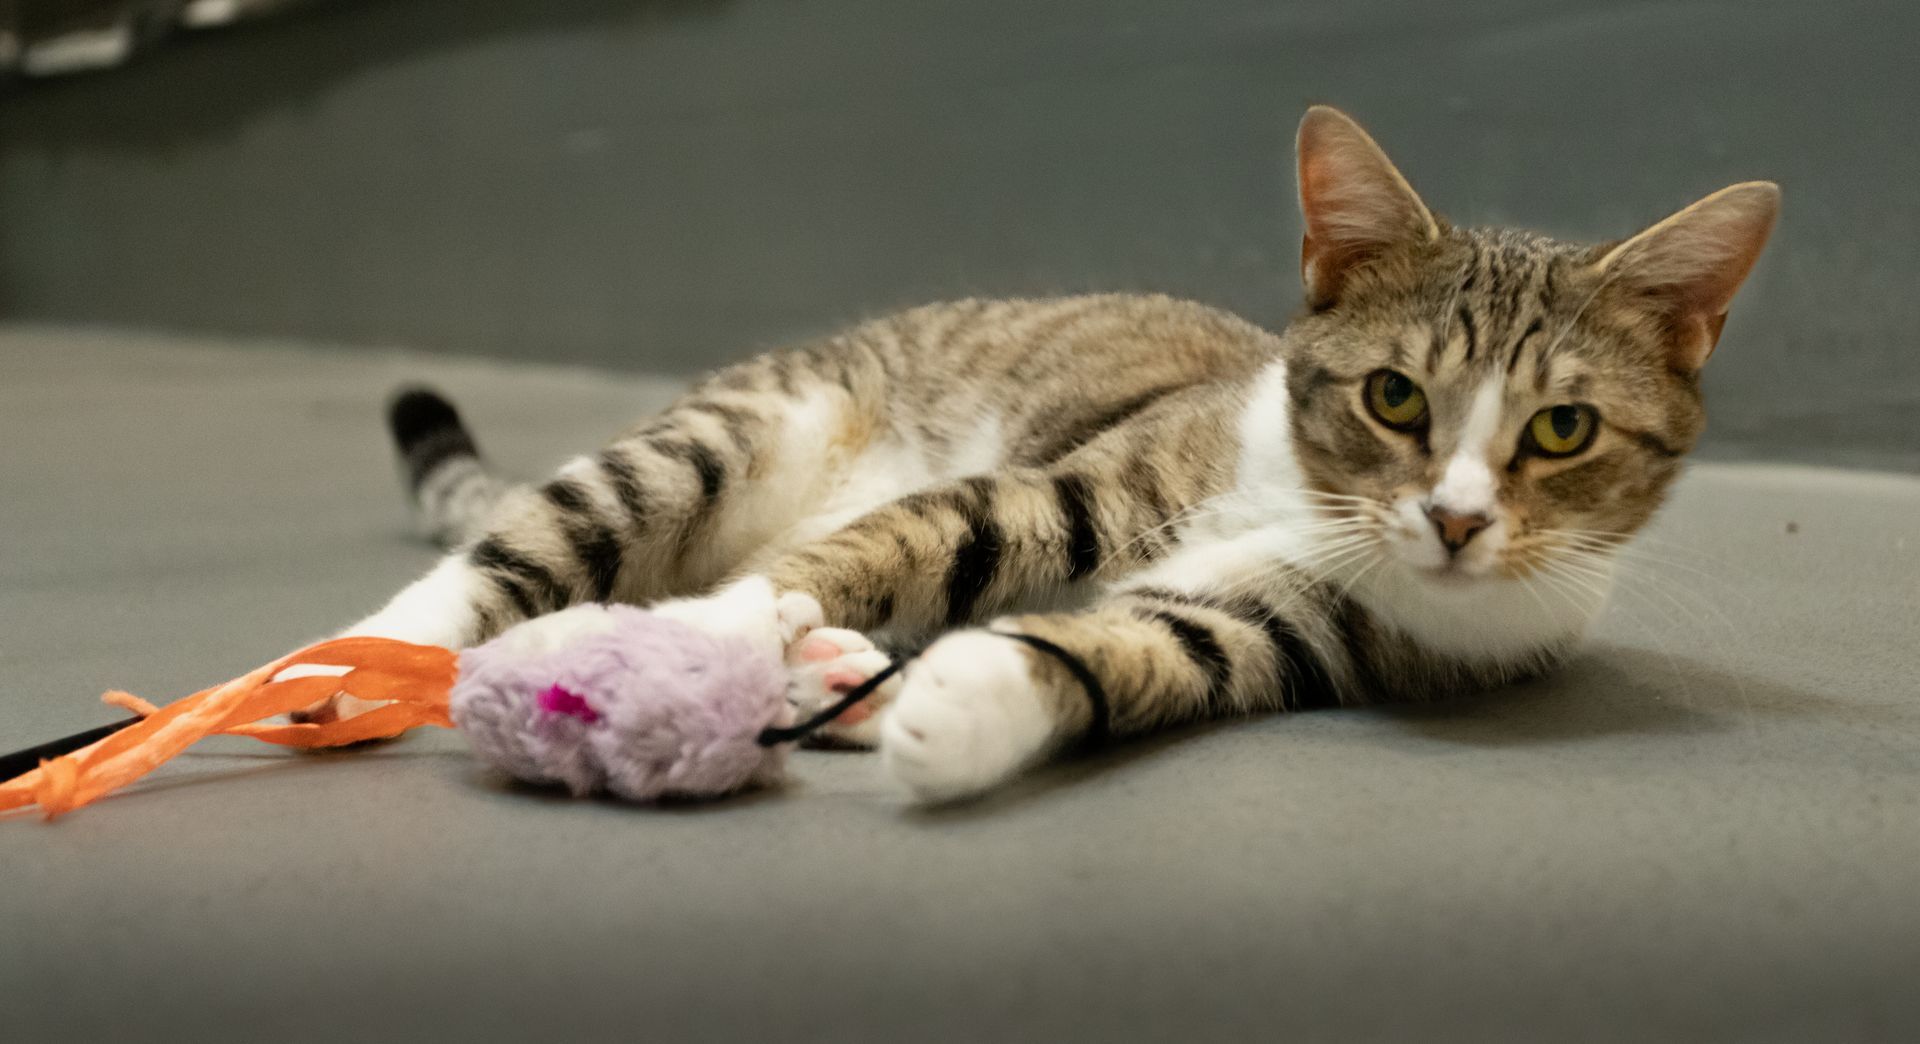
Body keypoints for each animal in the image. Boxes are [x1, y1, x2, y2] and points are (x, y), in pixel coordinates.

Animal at [291, 106, 1774, 802]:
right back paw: (360, 662)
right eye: (1397, 397)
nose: (1459, 521)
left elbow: (1129, 651)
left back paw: (848, 673)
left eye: (1562, 429)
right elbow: (921, 534)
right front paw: (701, 642)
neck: (1309, 502)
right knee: (508, 553)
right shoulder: (1087, 487)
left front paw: (964, 708)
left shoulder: (1286, 628)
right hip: (730, 435)